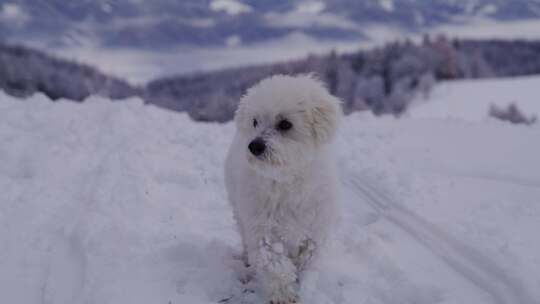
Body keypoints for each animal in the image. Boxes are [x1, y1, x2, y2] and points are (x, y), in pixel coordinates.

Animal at [225, 75, 342, 302]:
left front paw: (303, 286)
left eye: (285, 124)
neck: (287, 180)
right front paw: (284, 295)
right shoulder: (262, 230)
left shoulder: (315, 230)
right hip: (240, 213)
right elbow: (275, 265)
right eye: (255, 122)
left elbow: (308, 259)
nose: (254, 146)